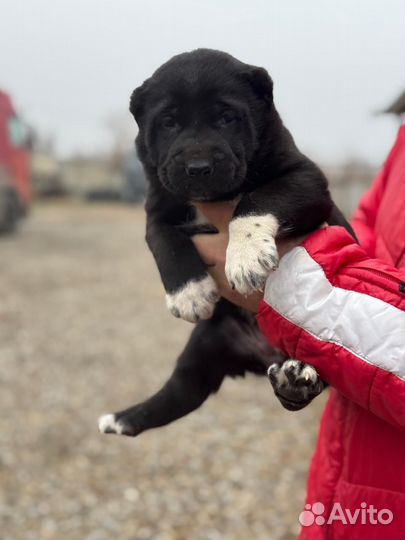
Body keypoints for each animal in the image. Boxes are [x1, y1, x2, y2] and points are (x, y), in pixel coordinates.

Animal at [98, 49, 354, 438]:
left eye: (227, 117)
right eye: (168, 122)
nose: (198, 166)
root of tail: (264, 356)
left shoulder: (306, 179)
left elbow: (256, 199)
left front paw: (246, 258)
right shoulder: (157, 209)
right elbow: (165, 243)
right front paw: (189, 293)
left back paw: (298, 377)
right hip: (205, 347)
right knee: (179, 392)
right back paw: (121, 419)